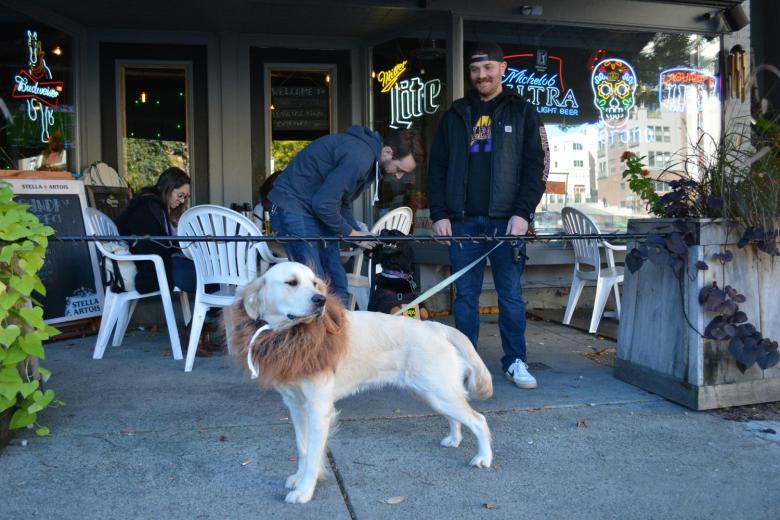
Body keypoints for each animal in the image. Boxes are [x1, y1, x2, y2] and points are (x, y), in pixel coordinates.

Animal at [225, 262, 494, 502]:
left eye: (315, 284)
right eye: (291, 283)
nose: (320, 301)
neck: (294, 337)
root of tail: (435, 326)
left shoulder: (319, 409)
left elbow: (312, 455)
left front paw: (305, 490)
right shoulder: (296, 406)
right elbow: (302, 448)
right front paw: (300, 478)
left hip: (438, 392)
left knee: (479, 420)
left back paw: (484, 458)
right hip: (431, 393)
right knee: (456, 418)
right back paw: (454, 439)